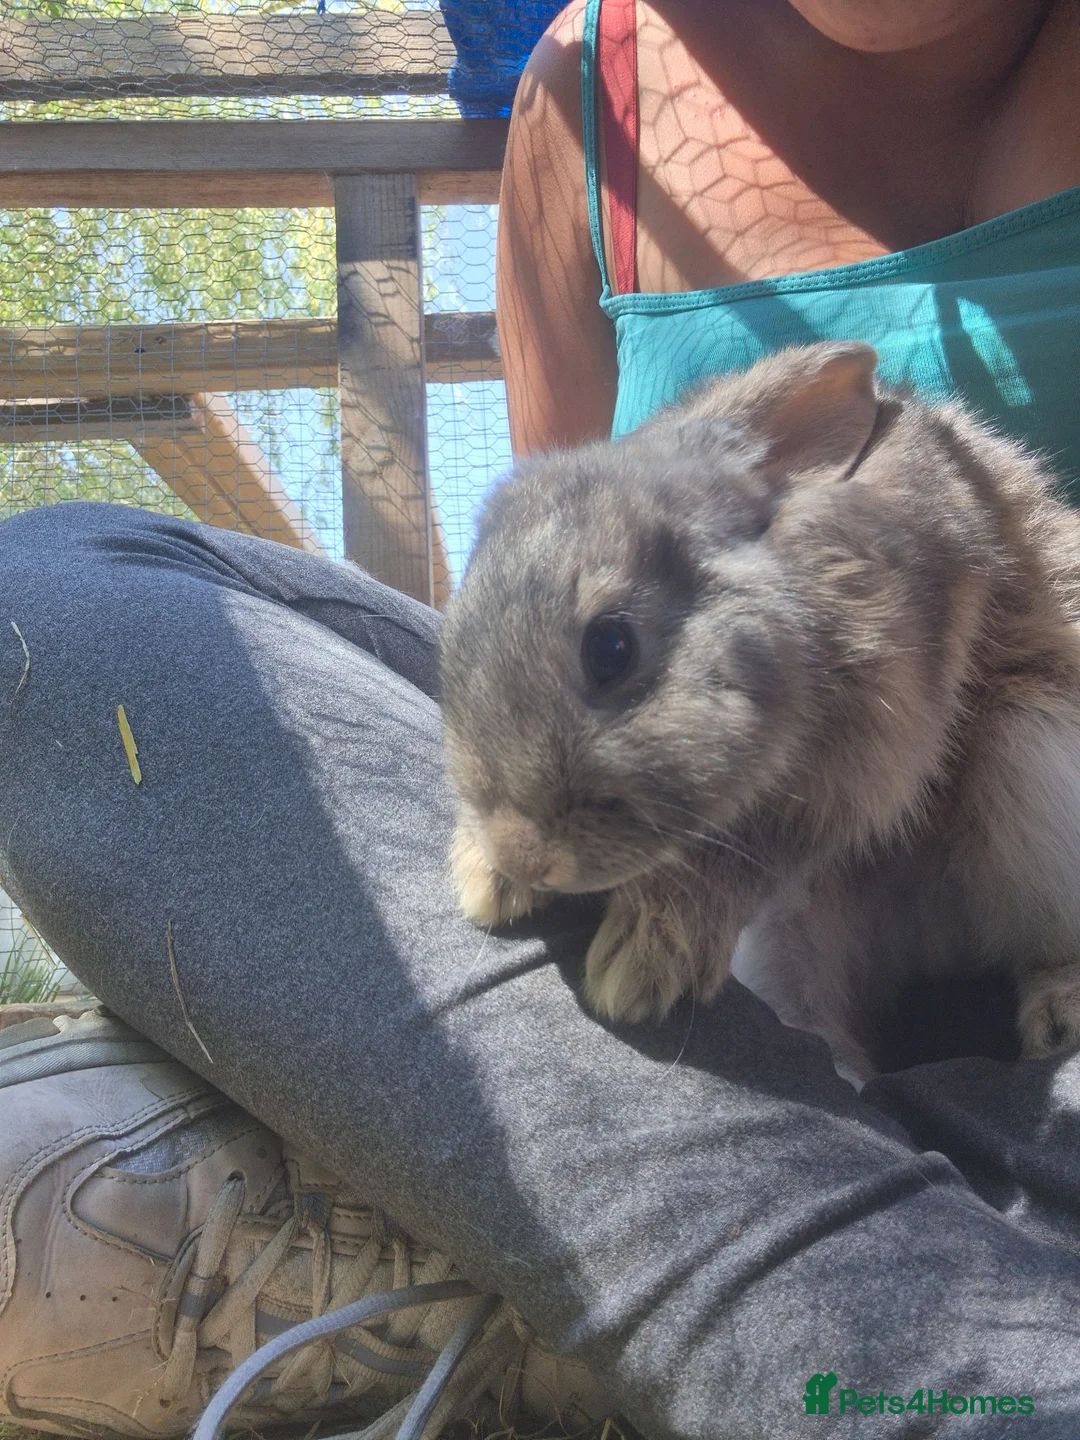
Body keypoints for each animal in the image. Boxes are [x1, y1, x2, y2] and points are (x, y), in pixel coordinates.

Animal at [438, 342, 1080, 1080]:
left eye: (611, 648)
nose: (523, 855)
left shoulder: (852, 773)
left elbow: (739, 860)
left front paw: (641, 963)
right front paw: (483, 878)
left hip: (1034, 756)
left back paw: (1058, 1017)